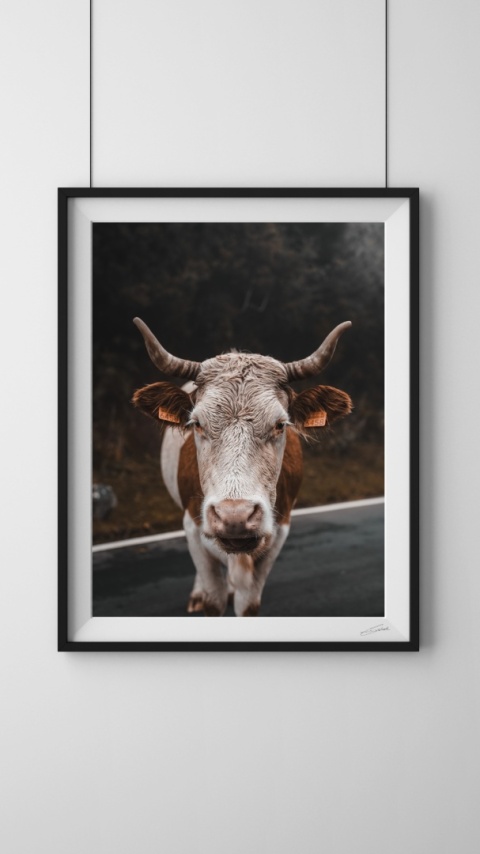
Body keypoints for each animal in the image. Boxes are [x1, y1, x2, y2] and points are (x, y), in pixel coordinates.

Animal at [132, 317, 353, 617]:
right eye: (196, 423)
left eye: (280, 424)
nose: (234, 516)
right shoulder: (193, 528)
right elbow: (213, 600)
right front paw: (205, 597)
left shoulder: (278, 533)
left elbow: (247, 604)